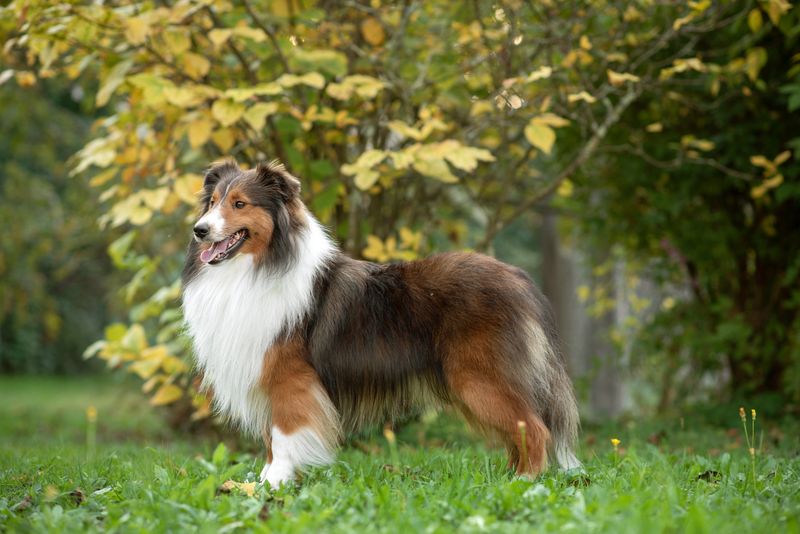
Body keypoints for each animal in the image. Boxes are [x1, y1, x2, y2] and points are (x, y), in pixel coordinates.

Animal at [182, 160, 580, 490]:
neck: (258, 267)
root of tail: (519, 279)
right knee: (519, 433)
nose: (199, 230)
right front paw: (261, 483)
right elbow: (269, 439)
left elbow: (282, 435)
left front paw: (273, 484)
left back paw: (524, 484)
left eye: (240, 204)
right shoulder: (264, 372)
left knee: (535, 429)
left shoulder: (289, 379)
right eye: (212, 202)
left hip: (481, 378)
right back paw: (511, 478)